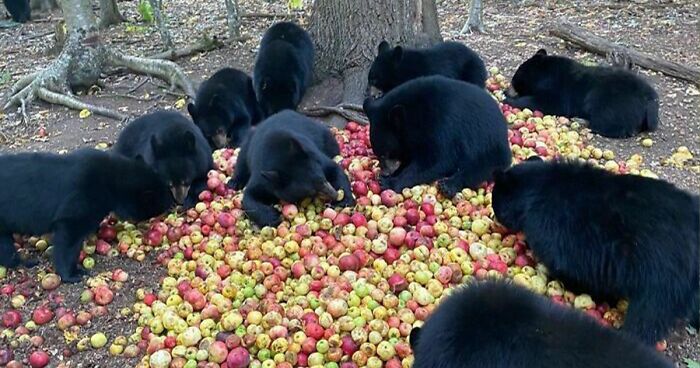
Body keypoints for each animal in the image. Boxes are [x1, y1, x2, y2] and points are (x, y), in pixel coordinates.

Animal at [0, 148, 171, 284]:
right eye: (162, 203)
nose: (173, 203)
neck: (111, 182)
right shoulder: (80, 201)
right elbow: (68, 239)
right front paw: (72, 274)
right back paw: (26, 261)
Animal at [364, 73, 512, 197]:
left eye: (385, 154)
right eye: (378, 154)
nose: (385, 172)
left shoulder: (442, 126)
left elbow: (437, 160)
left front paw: (389, 182)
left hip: (488, 144)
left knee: (481, 166)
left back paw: (448, 185)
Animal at [492, 157, 700, 344]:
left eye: (495, 204)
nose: (495, 218)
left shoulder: (558, 230)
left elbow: (571, 269)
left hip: (661, 270)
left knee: (649, 314)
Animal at [504, 49, 656, 139]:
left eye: (514, 79)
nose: (506, 90)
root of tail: (650, 101)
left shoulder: (558, 90)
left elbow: (548, 103)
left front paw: (509, 99)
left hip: (611, 99)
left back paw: (582, 121)